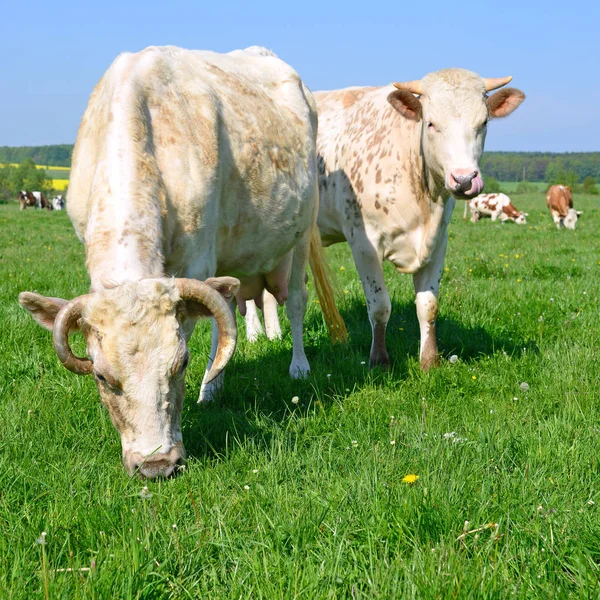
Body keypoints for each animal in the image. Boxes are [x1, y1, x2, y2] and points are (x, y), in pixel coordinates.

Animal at [18, 45, 344, 478]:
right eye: (101, 376)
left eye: (181, 364)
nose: (157, 465)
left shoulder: (197, 263)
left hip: (302, 233)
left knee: (294, 302)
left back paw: (295, 367)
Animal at [246, 69, 524, 370]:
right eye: (431, 124)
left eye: (483, 123)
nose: (464, 180)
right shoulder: (363, 243)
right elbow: (380, 305)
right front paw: (379, 359)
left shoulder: (439, 242)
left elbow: (428, 306)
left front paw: (430, 361)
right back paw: (255, 334)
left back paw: (273, 334)